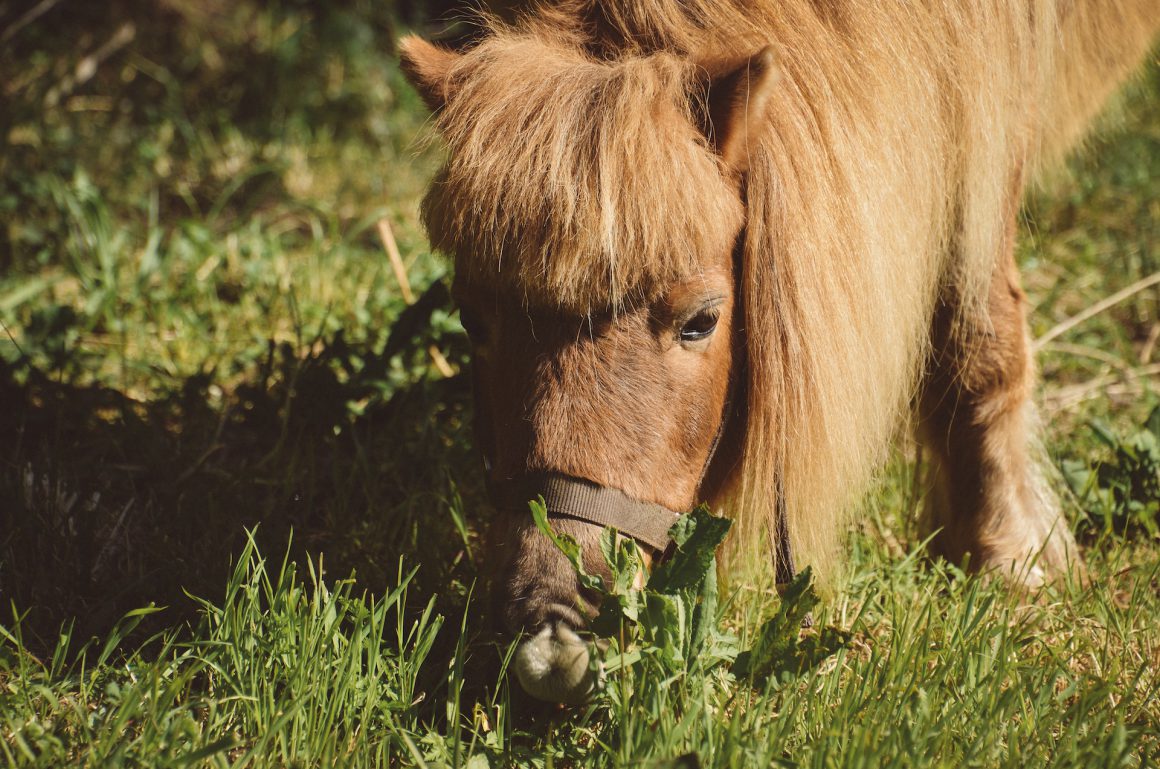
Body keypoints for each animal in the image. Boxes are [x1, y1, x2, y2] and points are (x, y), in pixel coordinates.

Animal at [399, 1, 1160, 705]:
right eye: (472, 317)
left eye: (701, 321)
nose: (553, 625)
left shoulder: (991, 115)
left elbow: (980, 334)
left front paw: (1010, 552)